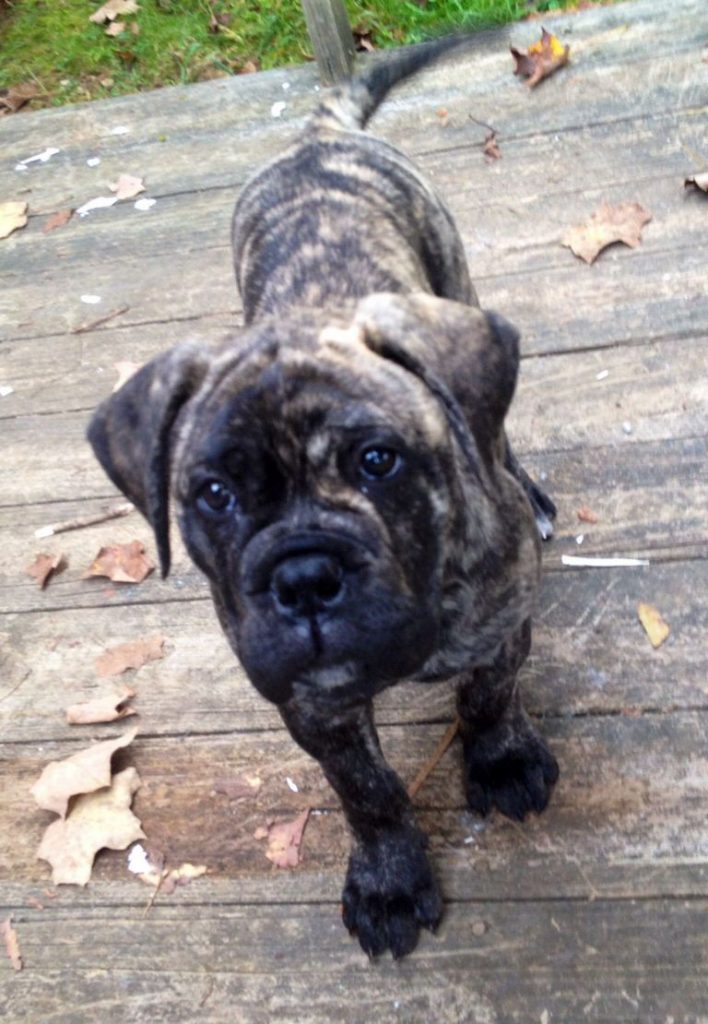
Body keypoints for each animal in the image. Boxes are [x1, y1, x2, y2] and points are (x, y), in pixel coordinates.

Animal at [87, 36, 561, 954]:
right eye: (213, 494)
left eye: (379, 460)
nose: (305, 579)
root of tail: (317, 141)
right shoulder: (313, 703)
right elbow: (366, 790)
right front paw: (390, 882)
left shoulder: (501, 621)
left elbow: (488, 695)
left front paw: (502, 762)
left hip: (454, 280)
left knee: (492, 419)